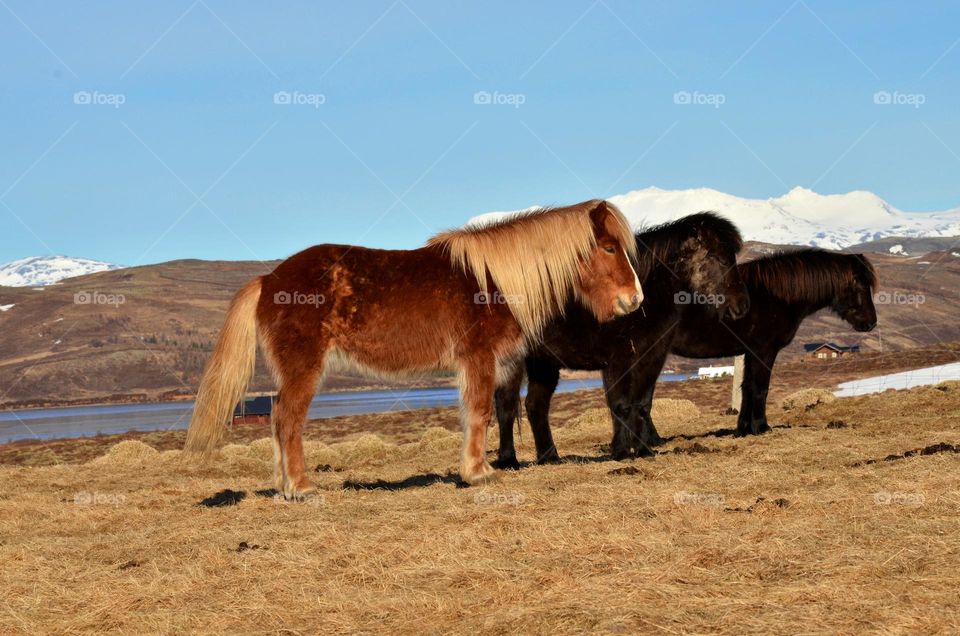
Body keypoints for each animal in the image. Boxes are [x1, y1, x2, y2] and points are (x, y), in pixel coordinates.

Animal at [184, 199, 643, 498]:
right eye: (608, 247)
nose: (634, 300)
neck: (494, 281)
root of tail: (269, 281)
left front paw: (478, 468)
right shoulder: (477, 358)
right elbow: (479, 412)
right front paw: (477, 473)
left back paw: (284, 485)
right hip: (303, 367)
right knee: (287, 419)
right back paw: (301, 487)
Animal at [492, 212, 750, 468]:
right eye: (721, 259)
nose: (741, 306)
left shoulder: (652, 359)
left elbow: (642, 405)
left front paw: (644, 450)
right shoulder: (618, 360)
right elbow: (621, 405)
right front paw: (622, 452)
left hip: (544, 363)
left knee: (536, 405)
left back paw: (550, 458)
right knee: (506, 406)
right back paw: (508, 460)